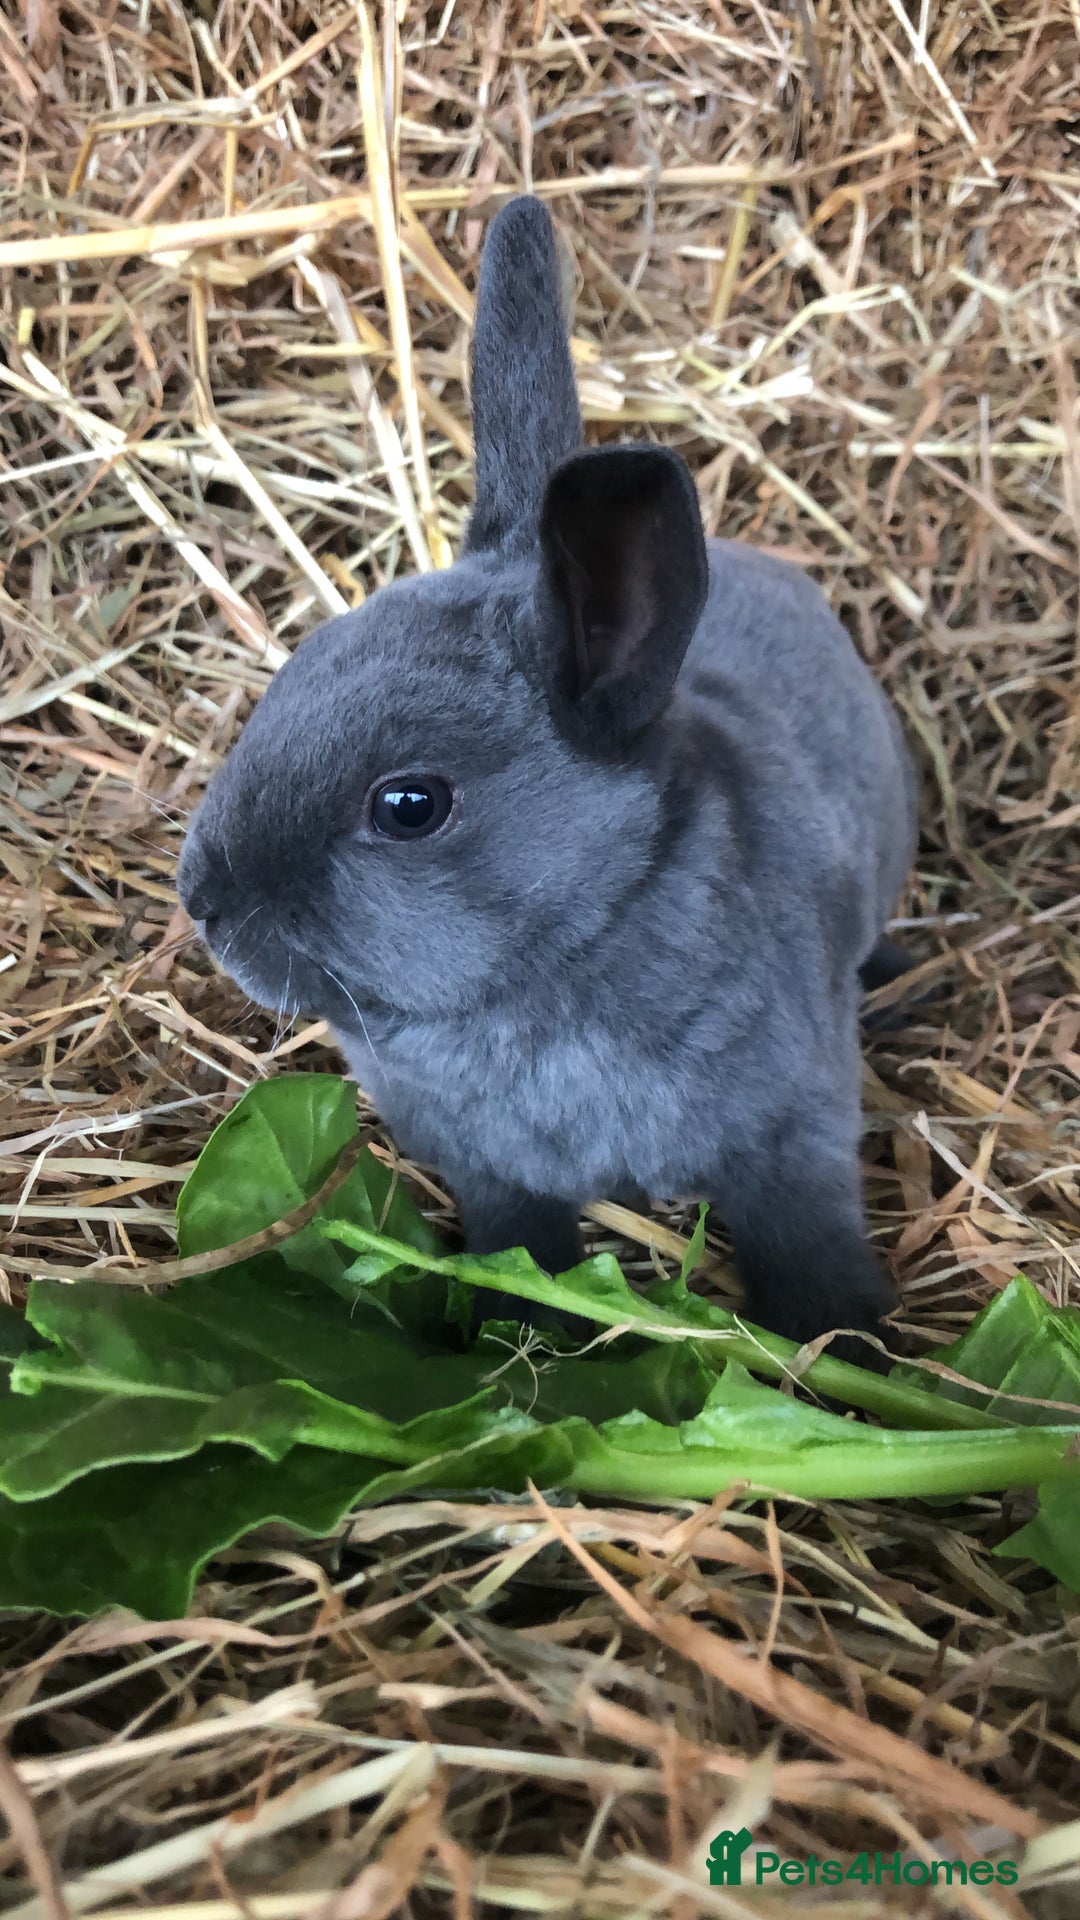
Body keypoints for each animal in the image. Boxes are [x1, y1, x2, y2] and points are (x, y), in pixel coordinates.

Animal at [177, 195, 918, 1354]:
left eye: (410, 805)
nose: (201, 898)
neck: (571, 947)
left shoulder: (791, 1139)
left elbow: (810, 1241)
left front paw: (845, 1346)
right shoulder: (494, 1179)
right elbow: (522, 1248)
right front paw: (516, 1334)